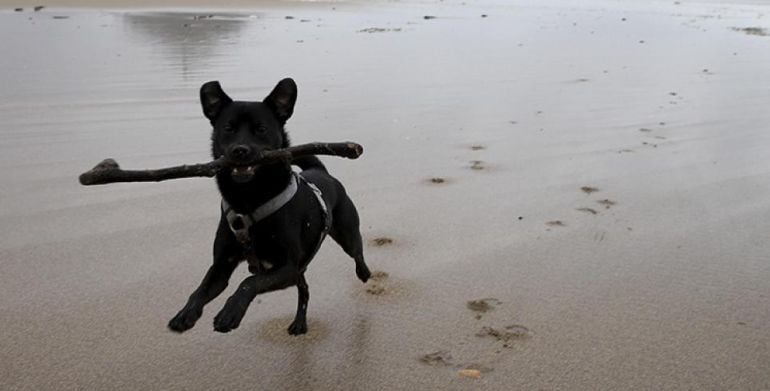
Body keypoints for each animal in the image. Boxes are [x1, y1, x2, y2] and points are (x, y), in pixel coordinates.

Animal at [169, 79, 372, 336]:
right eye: (228, 128)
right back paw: (299, 323)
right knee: (305, 289)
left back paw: (365, 273)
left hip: (346, 233)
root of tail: (320, 172)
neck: (249, 200)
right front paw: (186, 313)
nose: (240, 150)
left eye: (261, 129)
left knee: (357, 252)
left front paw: (230, 313)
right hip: (300, 269)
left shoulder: (287, 267)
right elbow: (201, 289)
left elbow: (249, 282)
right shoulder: (222, 265)